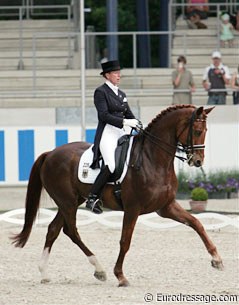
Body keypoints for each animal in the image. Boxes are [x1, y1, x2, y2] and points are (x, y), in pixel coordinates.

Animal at [12, 104, 223, 284]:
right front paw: (120, 276)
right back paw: (99, 269)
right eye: (197, 131)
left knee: (53, 229)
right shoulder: (132, 209)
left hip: (70, 202)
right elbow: (125, 241)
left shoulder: (166, 207)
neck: (152, 159)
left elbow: (196, 223)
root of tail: (50, 153)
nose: (198, 161)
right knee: (70, 231)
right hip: (67, 202)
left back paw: (45, 273)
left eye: (205, 132)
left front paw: (217, 259)